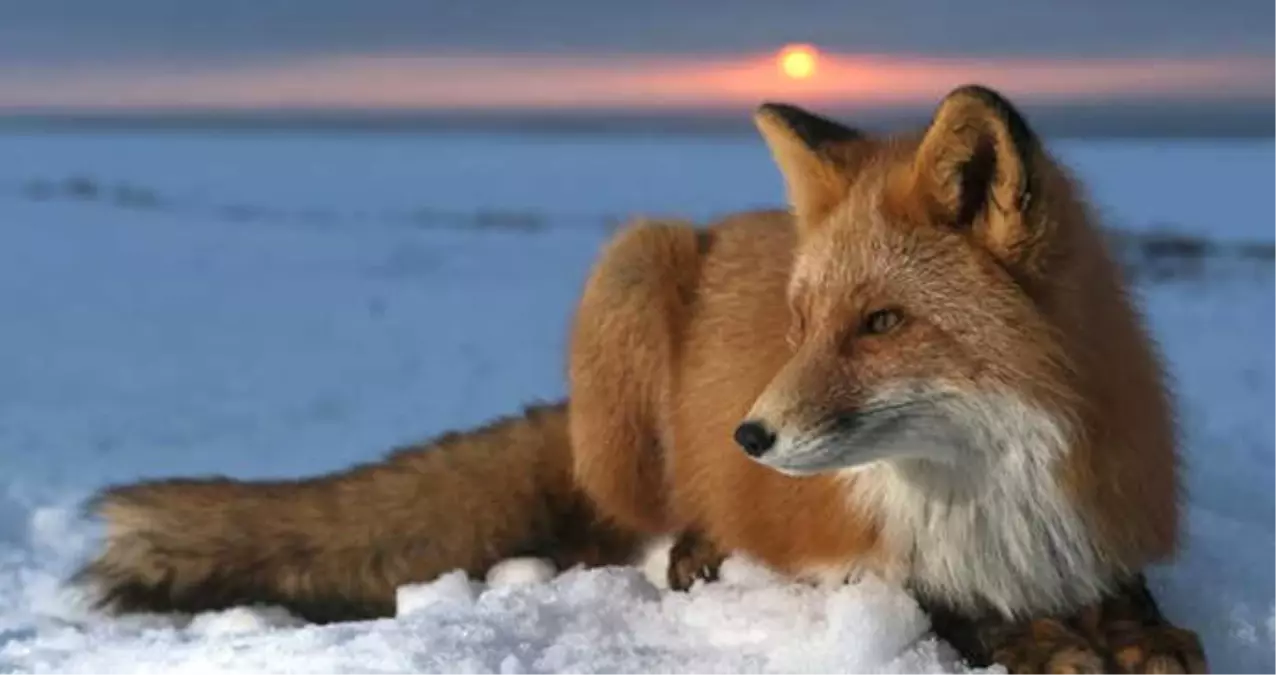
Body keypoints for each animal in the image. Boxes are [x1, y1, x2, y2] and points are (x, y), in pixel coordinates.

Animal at [77, 86, 1204, 668]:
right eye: (799, 325)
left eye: (882, 323)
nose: (748, 438)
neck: (993, 492)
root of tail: (727, 222)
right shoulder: (861, 561)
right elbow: (955, 611)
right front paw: (1048, 644)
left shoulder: (1098, 525)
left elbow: (1133, 604)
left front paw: (1130, 634)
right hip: (631, 269)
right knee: (614, 525)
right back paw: (688, 546)